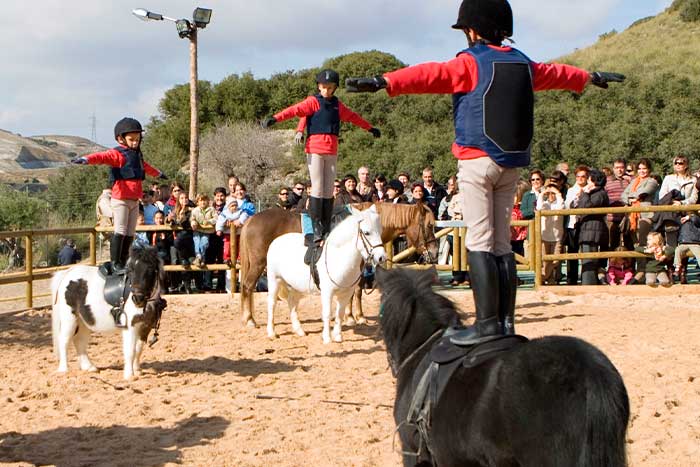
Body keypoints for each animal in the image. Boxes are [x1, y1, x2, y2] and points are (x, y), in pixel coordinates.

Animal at [50, 245, 165, 380]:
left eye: (150, 268)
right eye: (131, 270)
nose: (138, 299)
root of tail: (67, 274)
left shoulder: (145, 327)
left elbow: (138, 349)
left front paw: (137, 370)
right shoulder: (129, 326)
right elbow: (130, 350)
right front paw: (129, 375)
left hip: (84, 321)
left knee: (79, 341)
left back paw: (89, 367)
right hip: (70, 318)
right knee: (64, 340)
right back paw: (64, 369)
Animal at [241, 203, 438, 328]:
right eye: (429, 225)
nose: (435, 252)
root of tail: (251, 220)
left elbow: (355, 291)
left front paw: (354, 316)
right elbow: (356, 291)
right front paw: (353, 317)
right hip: (259, 264)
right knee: (248, 286)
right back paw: (249, 320)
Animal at [268, 205, 388, 344]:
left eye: (380, 231)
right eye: (367, 232)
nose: (381, 257)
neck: (338, 256)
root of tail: (276, 241)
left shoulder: (346, 293)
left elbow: (339, 314)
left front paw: (338, 336)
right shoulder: (327, 292)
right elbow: (327, 313)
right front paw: (327, 338)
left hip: (295, 285)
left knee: (292, 301)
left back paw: (299, 331)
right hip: (274, 280)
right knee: (272, 303)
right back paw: (271, 333)